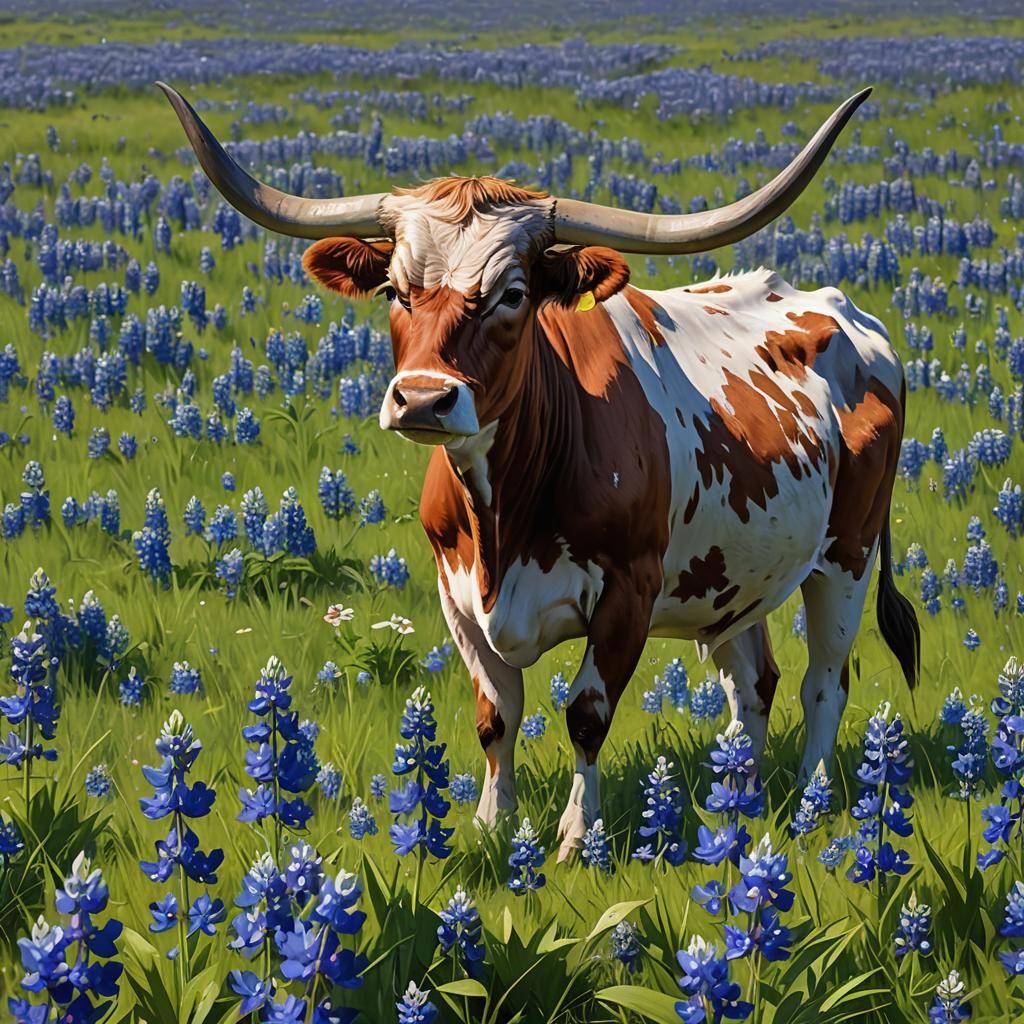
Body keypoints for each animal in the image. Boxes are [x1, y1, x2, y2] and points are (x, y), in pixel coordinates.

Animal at [159, 83, 919, 861]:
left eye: (513, 294)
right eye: (395, 291)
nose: (423, 398)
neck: (504, 515)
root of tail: (842, 310)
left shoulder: (628, 594)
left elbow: (585, 714)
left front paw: (575, 840)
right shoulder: (457, 597)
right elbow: (496, 715)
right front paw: (492, 827)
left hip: (847, 558)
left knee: (824, 682)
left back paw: (809, 805)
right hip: (736, 576)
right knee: (754, 685)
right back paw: (736, 803)